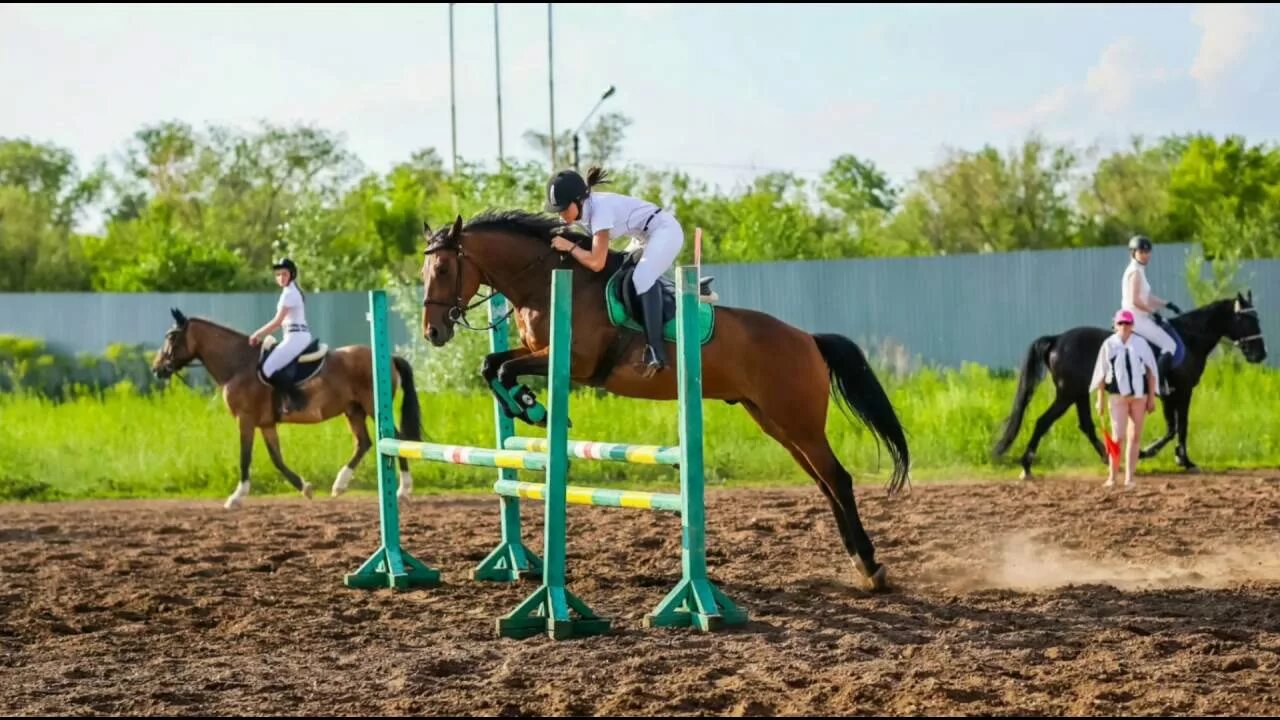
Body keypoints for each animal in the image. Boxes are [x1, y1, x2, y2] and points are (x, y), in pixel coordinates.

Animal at [149, 304, 419, 507]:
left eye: (171, 337)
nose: (157, 368)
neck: (238, 365)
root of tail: (389, 358)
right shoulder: (267, 424)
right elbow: (276, 459)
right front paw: (305, 487)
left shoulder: (245, 419)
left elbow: (245, 456)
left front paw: (236, 497)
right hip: (353, 410)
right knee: (363, 442)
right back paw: (340, 484)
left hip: (372, 406)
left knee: (396, 439)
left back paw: (403, 490)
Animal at [419, 208, 911, 589]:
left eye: (442, 270)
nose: (433, 332)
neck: (544, 282)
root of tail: (808, 338)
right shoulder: (536, 353)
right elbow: (491, 364)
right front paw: (520, 405)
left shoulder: (574, 364)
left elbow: (502, 368)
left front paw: (532, 407)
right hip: (775, 423)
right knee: (824, 483)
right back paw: (859, 562)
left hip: (798, 423)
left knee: (838, 479)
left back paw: (871, 566)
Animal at [993, 288, 1264, 474]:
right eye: (1248, 320)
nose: (1260, 355)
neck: (1190, 338)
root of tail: (1058, 338)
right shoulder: (1182, 392)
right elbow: (1180, 426)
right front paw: (1180, 460)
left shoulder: (1170, 394)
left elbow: (1172, 427)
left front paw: (1163, 455)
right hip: (1068, 393)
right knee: (1044, 422)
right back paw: (1026, 466)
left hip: (1078, 393)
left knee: (1085, 425)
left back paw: (1108, 458)